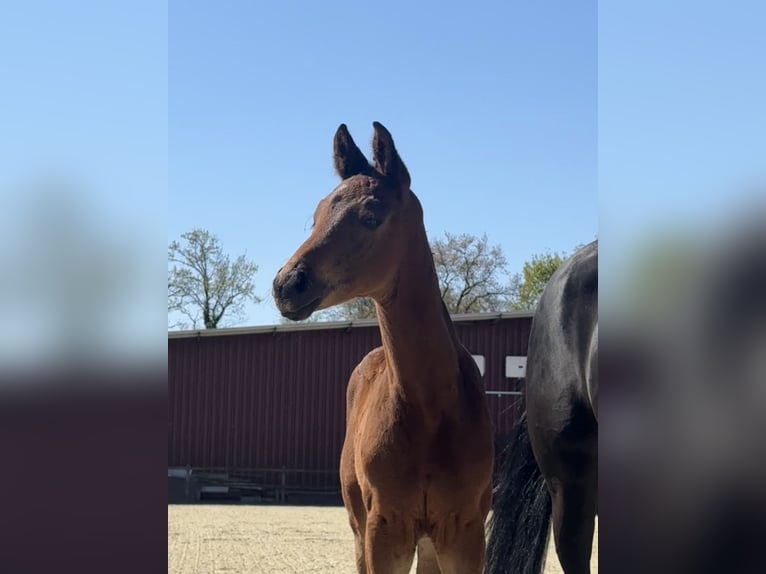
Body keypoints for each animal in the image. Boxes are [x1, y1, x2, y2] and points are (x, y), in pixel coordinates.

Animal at [272, 122, 494, 573]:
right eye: (317, 216)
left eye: (371, 216)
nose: (287, 284)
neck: (431, 408)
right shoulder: (384, 529)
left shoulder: (464, 532)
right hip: (361, 529)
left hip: (429, 544)